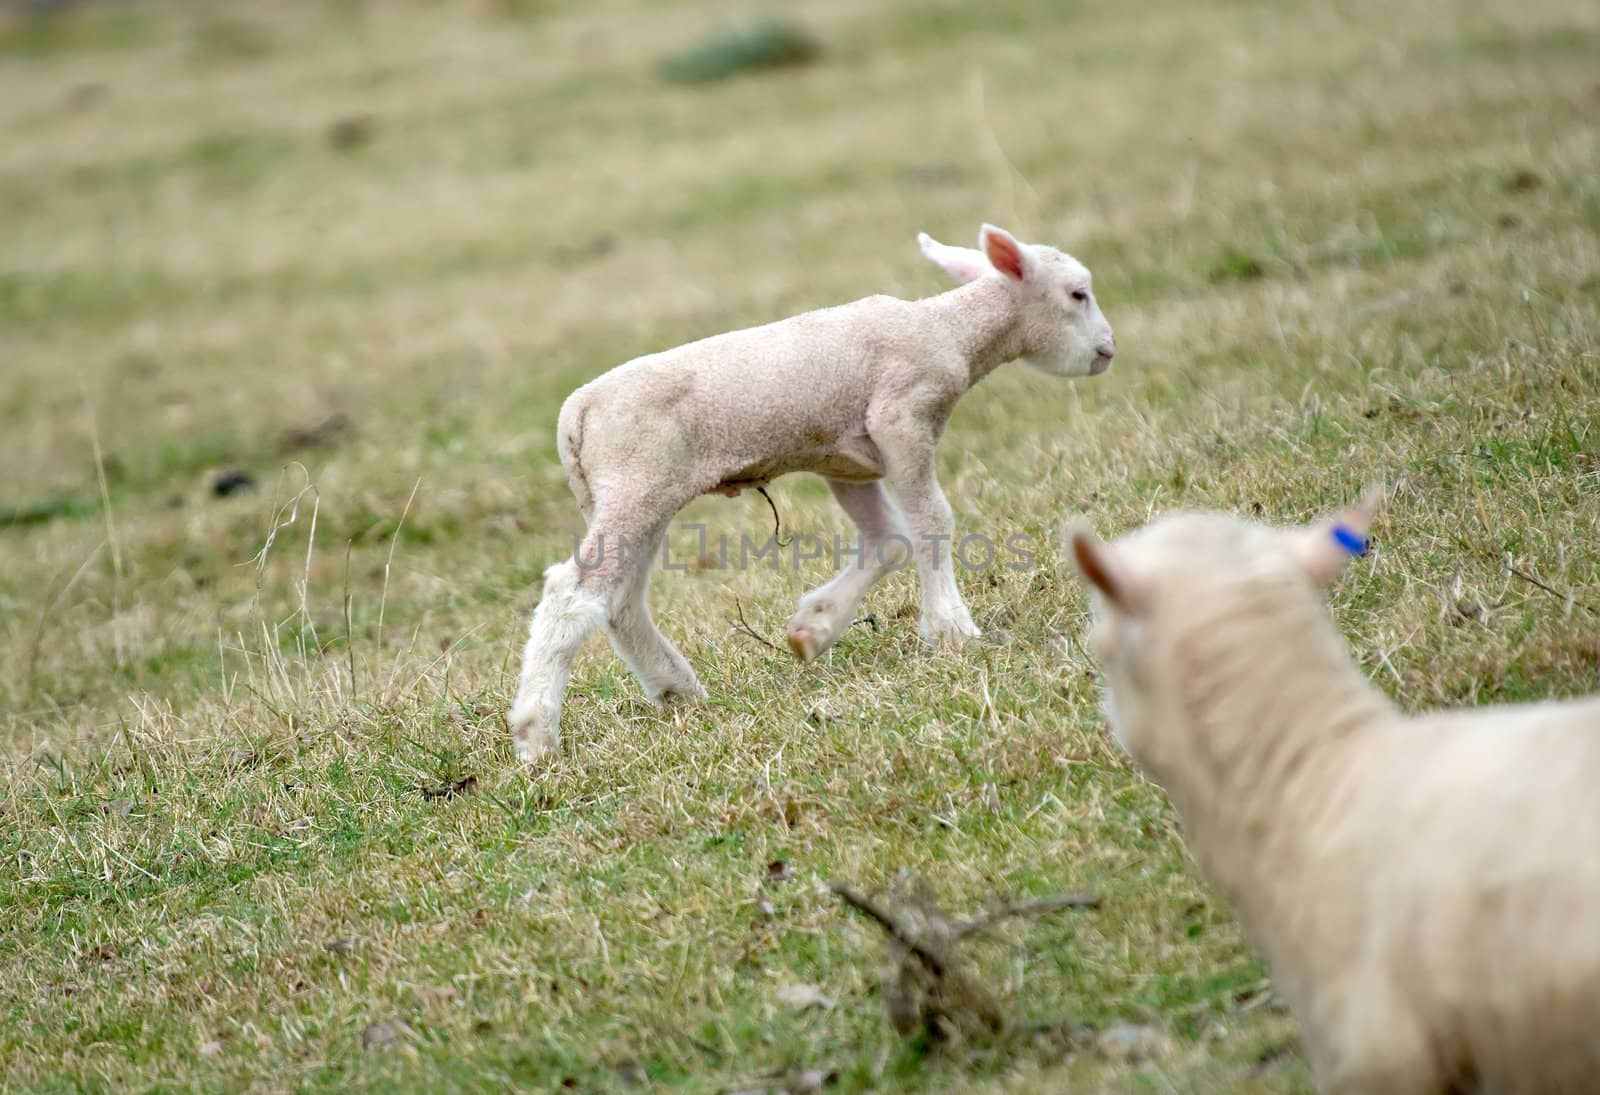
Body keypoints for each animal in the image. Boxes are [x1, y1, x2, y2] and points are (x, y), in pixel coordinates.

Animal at [508, 224, 1113, 762]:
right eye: (1077, 293)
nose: (1107, 351)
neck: (948, 329)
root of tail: (575, 415)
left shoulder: (846, 461)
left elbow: (887, 539)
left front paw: (813, 629)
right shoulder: (902, 417)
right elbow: (933, 521)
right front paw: (953, 630)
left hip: (628, 496)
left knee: (620, 599)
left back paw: (677, 689)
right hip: (636, 486)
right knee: (571, 592)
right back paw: (537, 736)